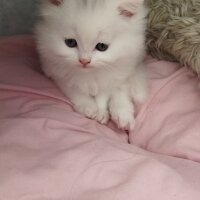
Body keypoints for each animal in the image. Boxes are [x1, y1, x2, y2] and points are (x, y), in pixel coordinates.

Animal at [34, 0, 147, 130]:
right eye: (70, 42)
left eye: (102, 46)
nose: (84, 61)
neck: (89, 74)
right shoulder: (60, 75)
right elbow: (76, 92)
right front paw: (89, 107)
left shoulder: (113, 77)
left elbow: (104, 96)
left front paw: (102, 112)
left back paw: (123, 116)